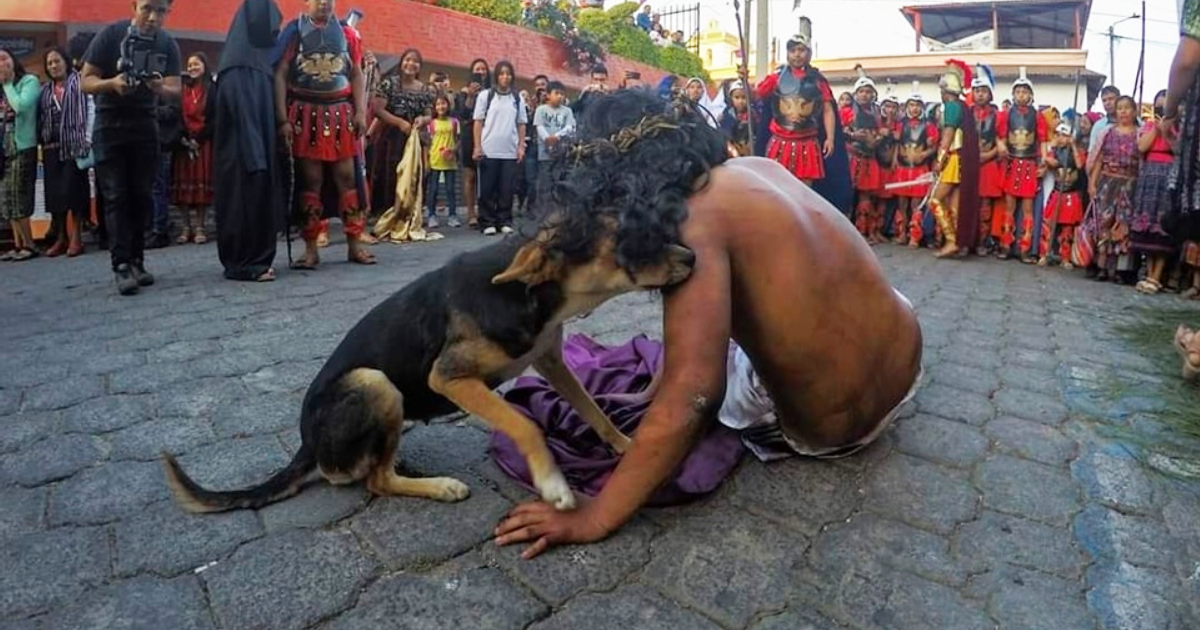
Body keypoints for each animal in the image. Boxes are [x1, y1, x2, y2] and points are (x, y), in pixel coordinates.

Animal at [164, 229, 700, 511]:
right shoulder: (449, 378)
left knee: (375, 469)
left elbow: (595, 412)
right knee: (373, 482)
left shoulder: (549, 358)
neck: (526, 293)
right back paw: (439, 486)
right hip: (375, 383)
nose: (694, 255)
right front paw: (553, 483)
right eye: (630, 241)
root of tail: (307, 446)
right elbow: (524, 424)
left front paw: (628, 446)